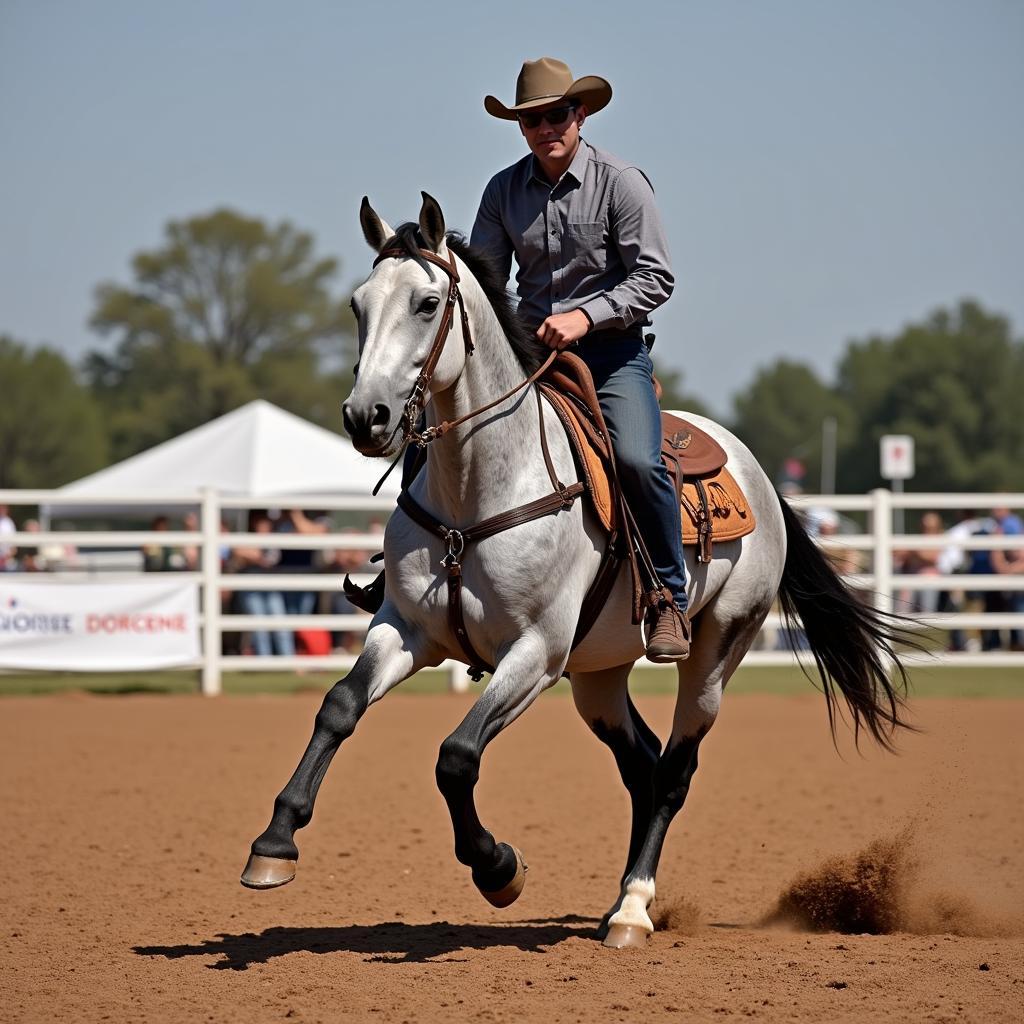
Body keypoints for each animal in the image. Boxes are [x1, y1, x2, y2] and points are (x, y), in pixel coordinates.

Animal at [241, 193, 913, 950]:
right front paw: (274, 844)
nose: (365, 416)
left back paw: (632, 910)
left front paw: (498, 868)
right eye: (358, 304)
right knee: (643, 766)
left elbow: (456, 755)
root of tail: (759, 479)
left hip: (716, 650)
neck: (480, 489)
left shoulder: (536, 653)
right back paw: (619, 900)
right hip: (598, 675)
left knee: (675, 770)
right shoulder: (406, 630)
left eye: (426, 301)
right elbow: (339, 707)